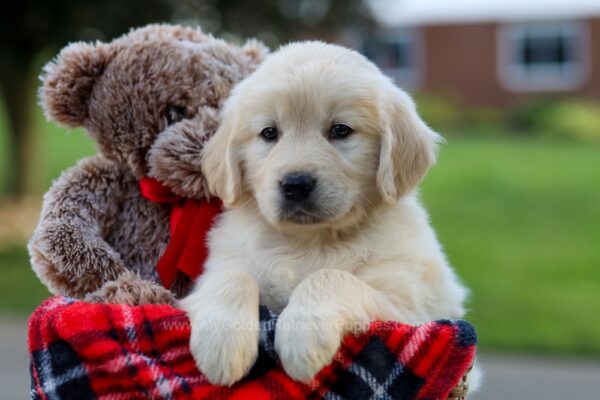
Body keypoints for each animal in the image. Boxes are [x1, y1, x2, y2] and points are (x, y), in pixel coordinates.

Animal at [180, 41, 472, 388]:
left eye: (340, 130)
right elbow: (232, 276)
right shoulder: (221, 265)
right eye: (269, 133)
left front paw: (302, 337)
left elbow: (331, 276)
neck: (310, 240)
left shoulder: (408, 309)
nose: (295, 184)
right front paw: (222, 345)